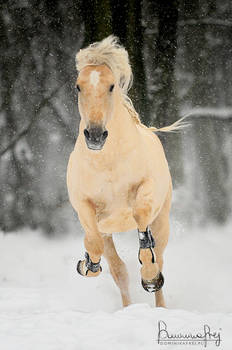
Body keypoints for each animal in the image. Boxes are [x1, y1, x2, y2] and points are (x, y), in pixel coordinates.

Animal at [67, 35, 185, 308]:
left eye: (111, 86)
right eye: (78, 87)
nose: (95, 135)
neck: (108, 163)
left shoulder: (146, 190)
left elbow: (141, 217)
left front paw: (149, 275)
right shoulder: (86, 207)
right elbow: (94, 243)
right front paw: (87, 265)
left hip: (163, 219)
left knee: (159, 258)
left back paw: (156, 294)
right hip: (111, 231)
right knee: (119, 271)